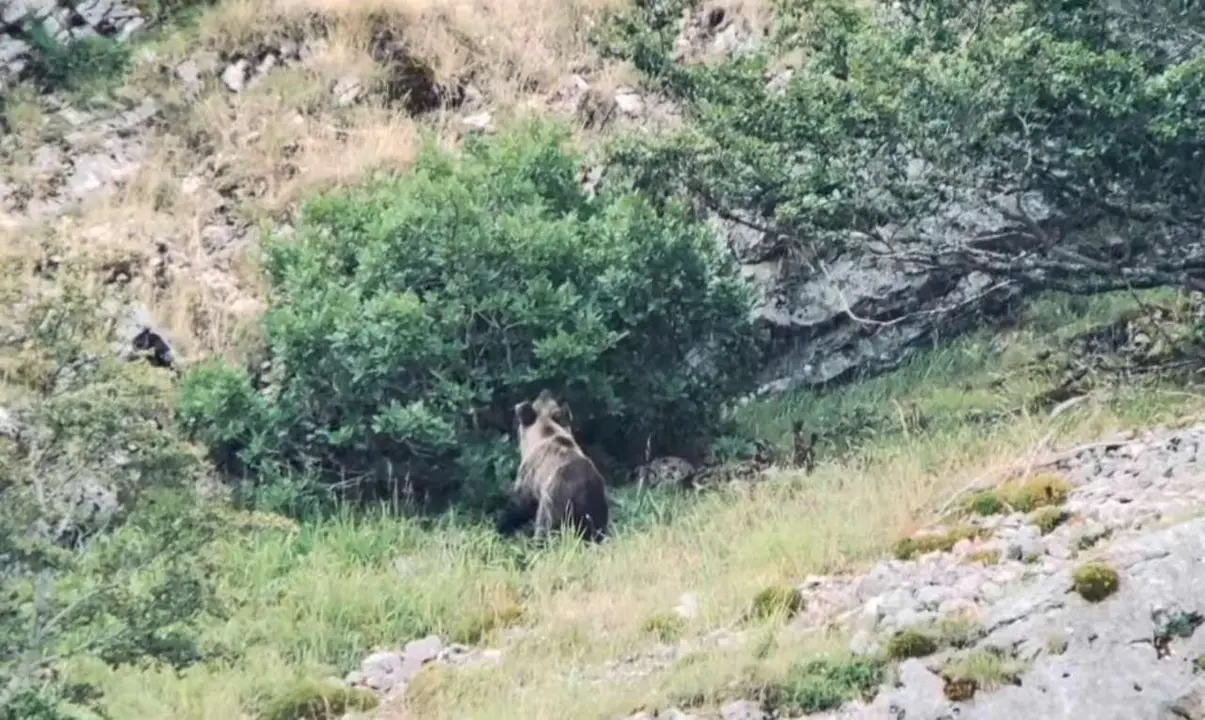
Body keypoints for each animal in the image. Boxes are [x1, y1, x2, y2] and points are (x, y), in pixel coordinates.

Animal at [495, 389, 610, 543]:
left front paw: (502, 525)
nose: (545, 391)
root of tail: (583, 487)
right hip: (596, 506)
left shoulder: (530, 478)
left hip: (556, 500)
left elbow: (520, 504)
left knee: (546, 528)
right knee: (597, 532)